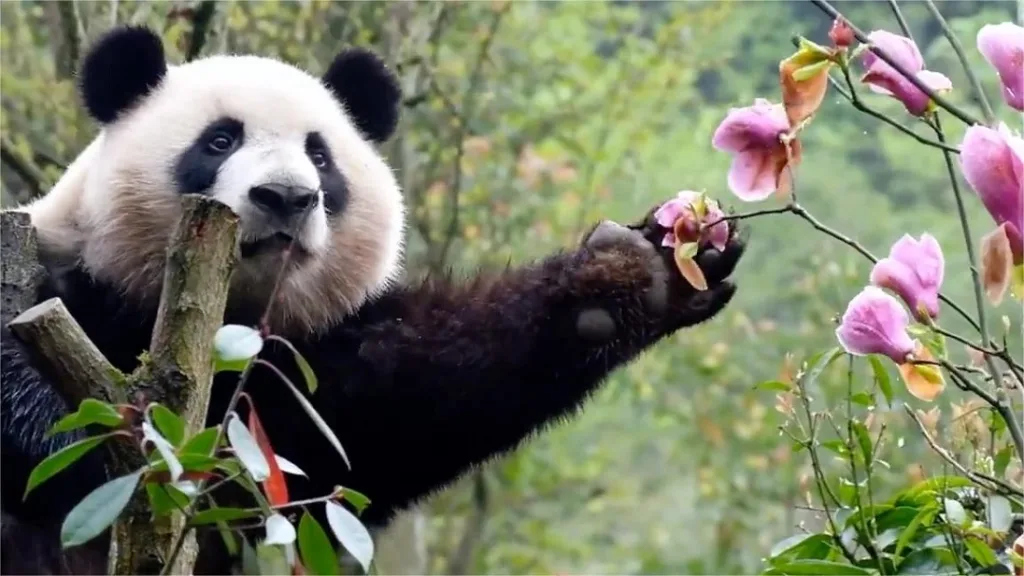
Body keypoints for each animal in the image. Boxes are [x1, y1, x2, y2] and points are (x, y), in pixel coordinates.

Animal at [0, 24, 747, 575]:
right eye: (219, 140)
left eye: (319, 156)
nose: (287, 197)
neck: (224, 325)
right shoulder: (65, 274)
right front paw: (95, 435)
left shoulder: (301, 380)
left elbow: (408, 401)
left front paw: (645, 271)